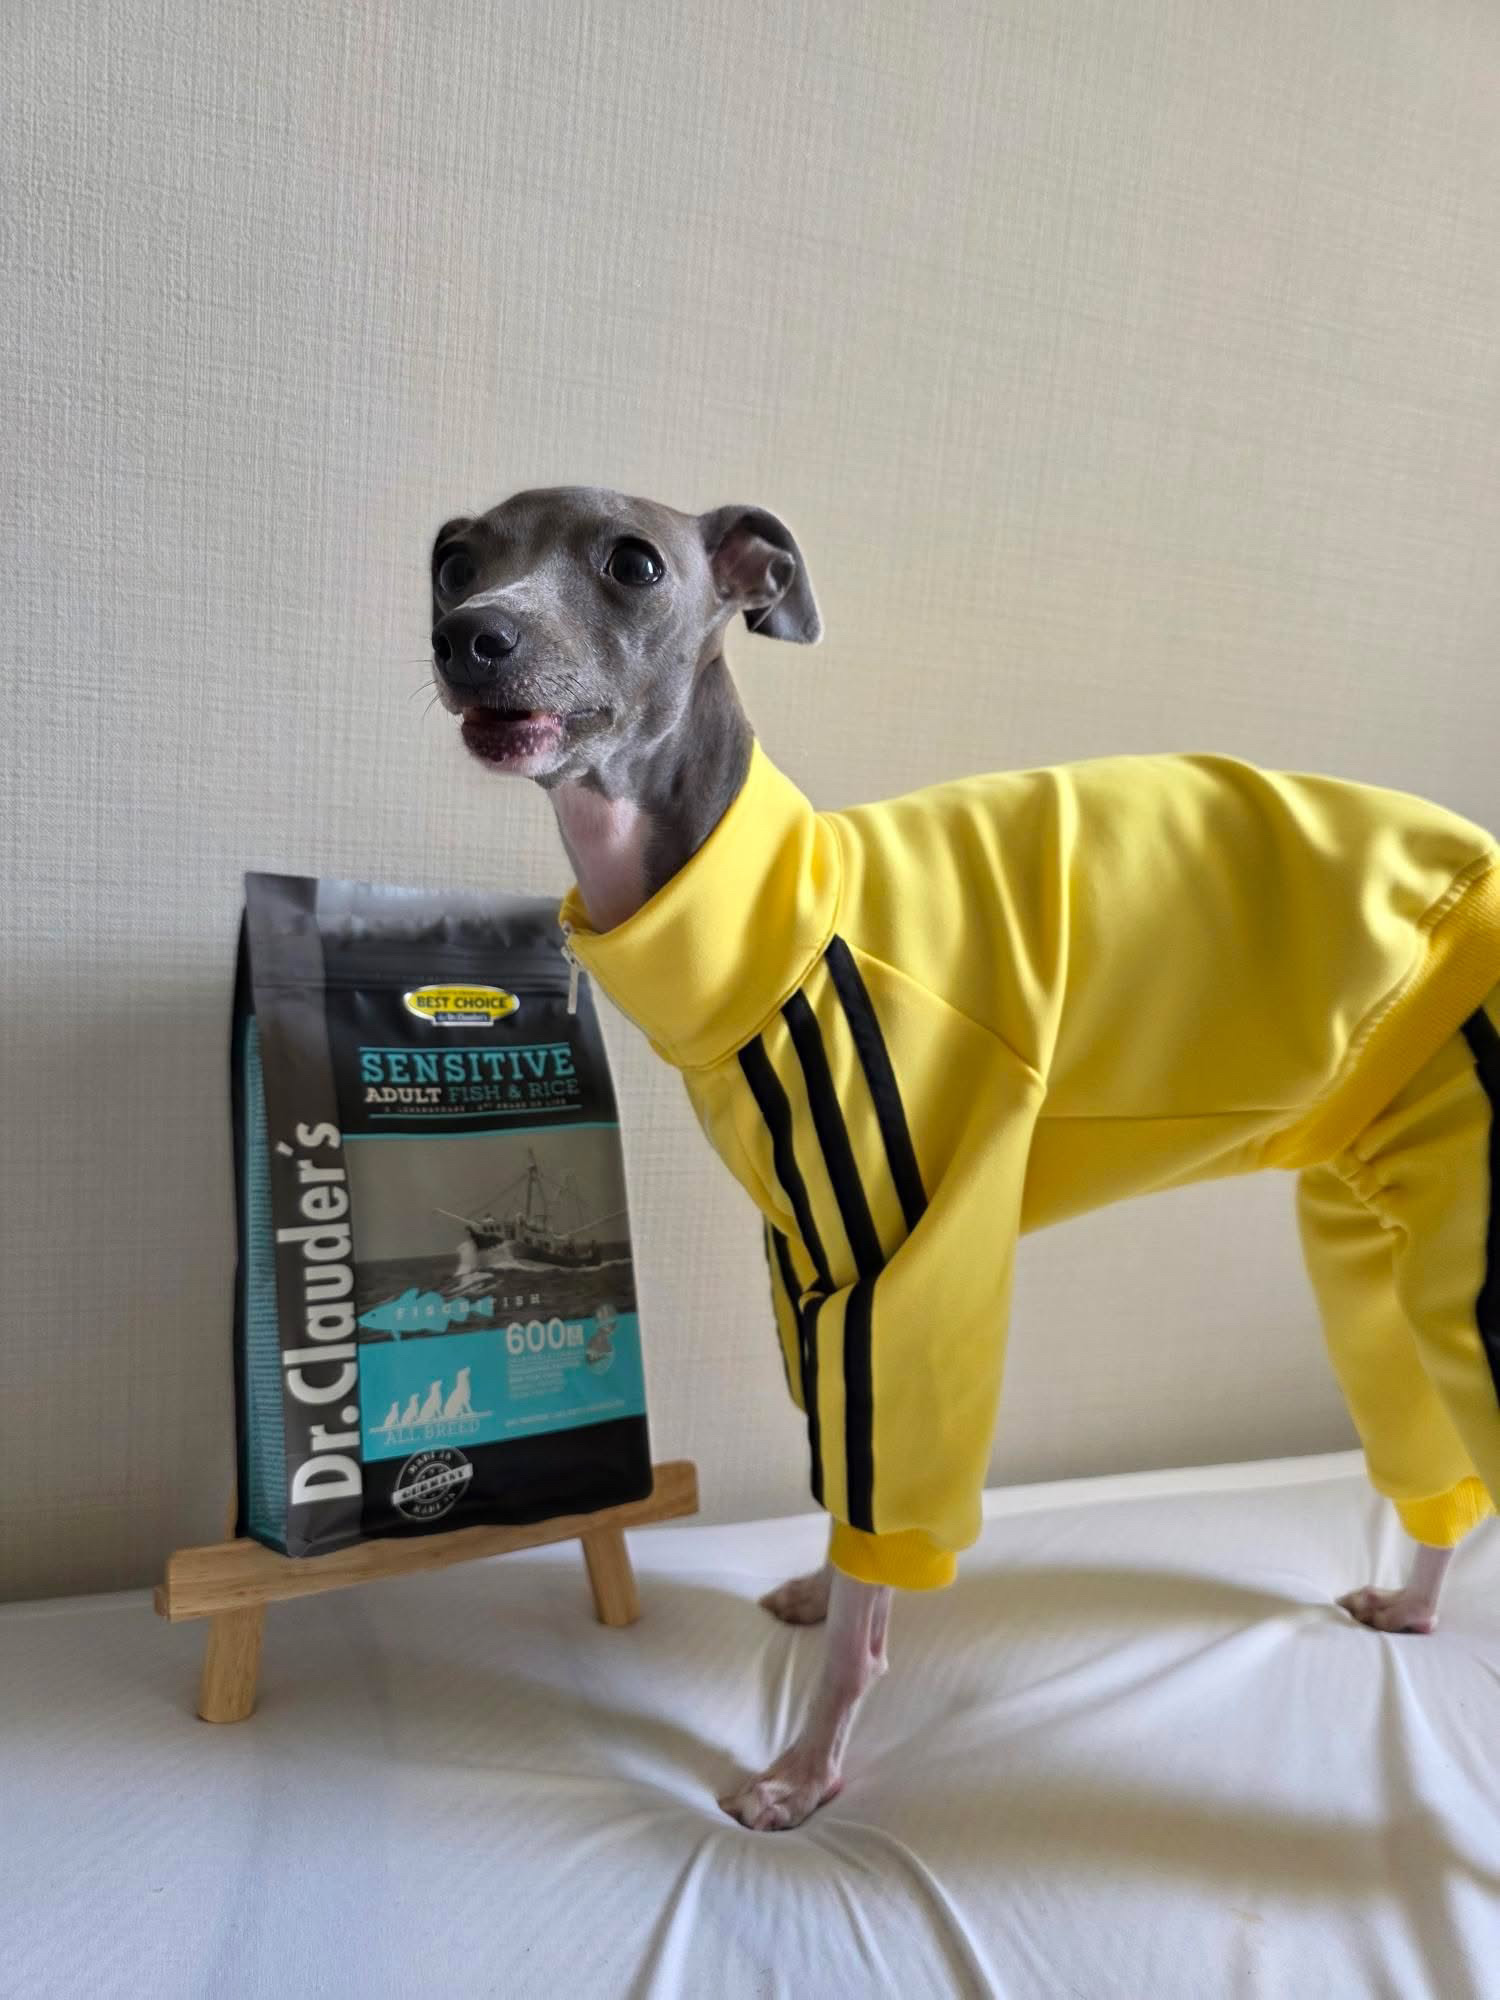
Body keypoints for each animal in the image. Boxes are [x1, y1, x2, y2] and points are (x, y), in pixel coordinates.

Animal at [427, 486, 1500, 1831]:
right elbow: (843, 1470)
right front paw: (822, 1587)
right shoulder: (807, 1259)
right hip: (1379, 1242)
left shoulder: (909, 1264)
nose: (470, 637)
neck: (785, 912)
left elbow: (880, 1544)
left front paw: (803, 1770)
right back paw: (1412, 1598)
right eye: (456, 558)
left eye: (634, 561)